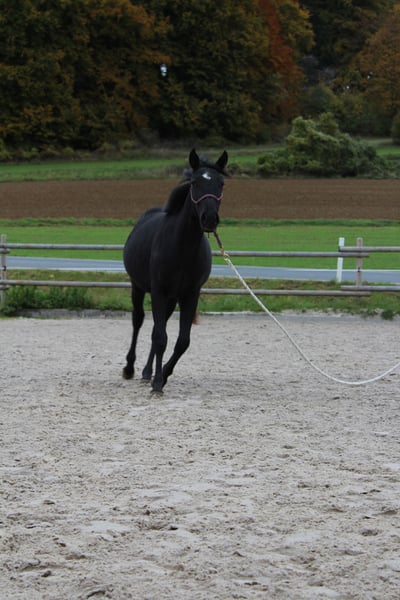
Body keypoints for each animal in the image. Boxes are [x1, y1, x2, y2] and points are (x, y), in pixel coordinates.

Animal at [122, 148, 228, 392]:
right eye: (195, 182)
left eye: (221, 183)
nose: (210, 219)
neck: (182, 248)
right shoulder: (159, 291)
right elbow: (161, 337)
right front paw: (158, 383)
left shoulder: (190, 294)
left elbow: (181, 341)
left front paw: (163, 375)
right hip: (138, 288)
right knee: (138, 321)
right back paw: (130, 368)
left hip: (171, 299)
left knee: (155, 327)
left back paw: (147, 371)